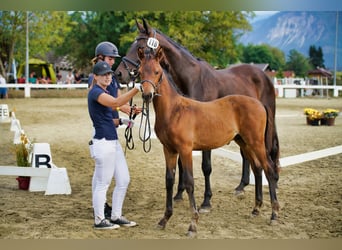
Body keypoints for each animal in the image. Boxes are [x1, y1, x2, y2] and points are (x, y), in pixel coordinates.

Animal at [115, 19, 280, 211]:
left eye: (140, 46)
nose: (119, 73)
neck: (193, 79)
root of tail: (263, 75)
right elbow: (180, 165)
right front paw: (179, 194)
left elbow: (206, 166)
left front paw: (206, 201)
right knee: (248, 156)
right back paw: (242, 185)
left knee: (268, 152)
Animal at [138, 47, 280, 236]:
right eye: (139, 72)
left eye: (157, 72)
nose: (147, 95)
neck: (175, 110)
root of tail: (260, 104)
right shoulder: (169, 150)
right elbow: (169, 180)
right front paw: (164, 219)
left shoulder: (185, 150)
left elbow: (189, 182)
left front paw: (193, 225)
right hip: (244, 142)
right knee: (257, 168)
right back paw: (256, 209)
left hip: (256, 142)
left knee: (269, 169)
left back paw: (274, 214)